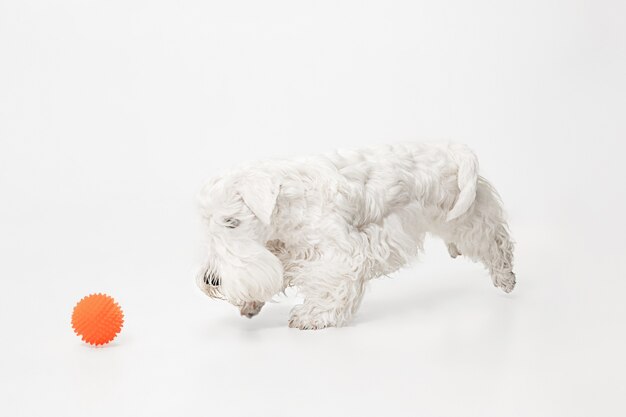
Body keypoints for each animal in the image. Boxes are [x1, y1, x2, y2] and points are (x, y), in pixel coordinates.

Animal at [195, 143, 512, 328]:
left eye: (231, 221)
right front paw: (250, 301)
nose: (211, 281)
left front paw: (311, 316)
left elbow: (331, 284)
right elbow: (267, 271)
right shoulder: (284, 248)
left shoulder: (340, 251)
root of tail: (452, 151)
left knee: (495, 240)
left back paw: (506, 277)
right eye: (207, 224)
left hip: (467, 214)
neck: (288, 200)